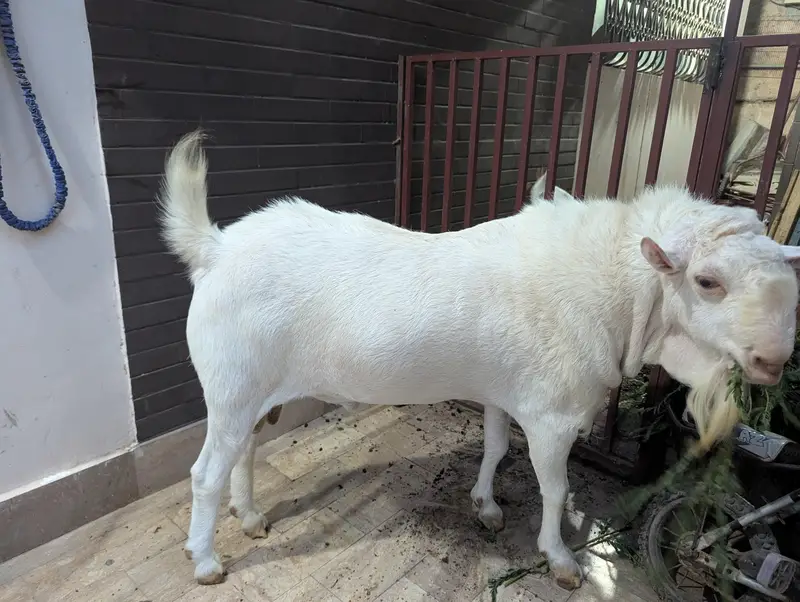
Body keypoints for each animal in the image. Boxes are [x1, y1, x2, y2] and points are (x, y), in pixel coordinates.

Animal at [159, 130, 800, 589]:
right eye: (707, 281)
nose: (773, 359)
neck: (616, 291)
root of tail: (215, 248)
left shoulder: (502, 391)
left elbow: (495, 447)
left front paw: (486, 505)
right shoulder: (553, 417)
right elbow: (556, 489)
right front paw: (560, 558)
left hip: (252, 389)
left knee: (243, 451)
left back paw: (249, 517)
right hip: (231, 384)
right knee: (205, 473)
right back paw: (206, 560)